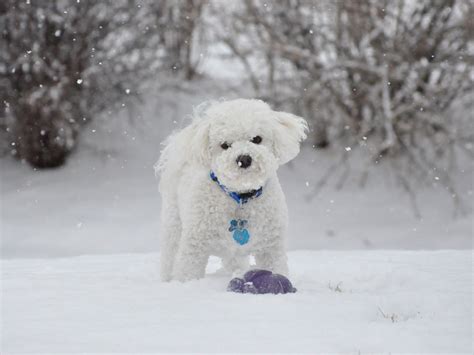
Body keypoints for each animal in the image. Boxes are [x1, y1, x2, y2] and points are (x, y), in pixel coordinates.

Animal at [157, 98, 310, 282]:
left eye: (257, 139)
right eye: (225, 145)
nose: (244, 159)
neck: (240, 197)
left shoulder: (271, 246)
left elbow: (275, 268)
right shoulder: (194, 246)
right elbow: (188, 272)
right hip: (173, 223)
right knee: (170, 253)